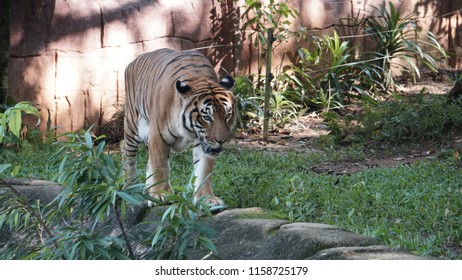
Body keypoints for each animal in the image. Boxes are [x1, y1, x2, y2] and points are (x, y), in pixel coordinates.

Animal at [122, 47, 236, 208]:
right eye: (207, 117)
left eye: (227, 115)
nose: (222, 141)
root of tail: (134, 61)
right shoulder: (158, 135)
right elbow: (160, 165)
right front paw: (161, 195)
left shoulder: (204, 141)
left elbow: (204, 169)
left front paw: (207, 198)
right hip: (132, 125)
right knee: (127, 155)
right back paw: (130, 189)